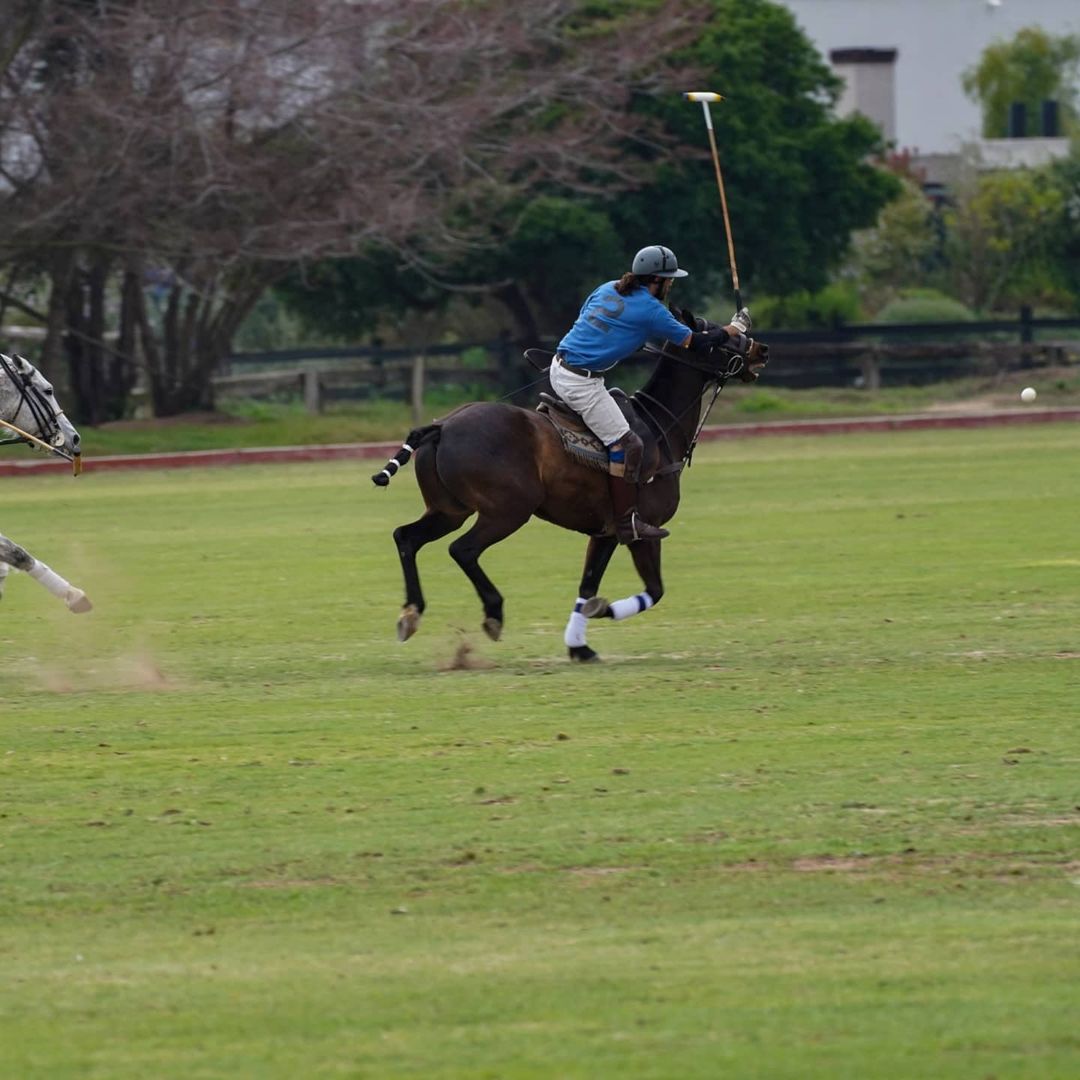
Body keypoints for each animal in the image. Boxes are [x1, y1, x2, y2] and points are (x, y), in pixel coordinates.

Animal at [0, 352, 90, 613]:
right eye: (48, 390)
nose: (75, 438)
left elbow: (16, 553)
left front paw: (74, 594)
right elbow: (15, 552)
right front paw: (74, 595)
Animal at [375, 311, 764, 656]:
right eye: (722, 337)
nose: (762, 350)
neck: (659, 426)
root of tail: (440, 426)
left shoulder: (605, 532)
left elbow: (588, 584)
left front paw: (580, 646)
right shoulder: (642, 529)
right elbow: (653, 590)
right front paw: (599, 615)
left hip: (449, 510)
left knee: (406, 537)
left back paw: (411, 613)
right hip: (508, 510)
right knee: (463, 550)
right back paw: (493, 612)